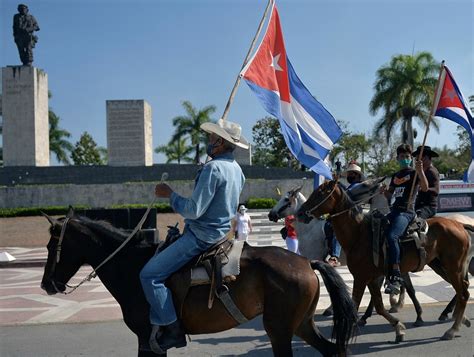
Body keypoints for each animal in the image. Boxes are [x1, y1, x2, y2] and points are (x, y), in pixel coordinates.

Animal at [40, 213, 358, 354]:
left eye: (51, 245)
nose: (46, 285)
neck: (132, 266)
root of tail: (305, 262)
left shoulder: (146, 339)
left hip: (278, 330)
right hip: (301, 324)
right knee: (332, 350)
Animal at [296, 181, 470, 342]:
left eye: (320, 193)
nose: (300, 213)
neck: (359, 234)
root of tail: (460, 225)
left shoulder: (360, 277)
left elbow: (355, 305)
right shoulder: (372, 278)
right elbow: (379, 306)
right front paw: (398, 328)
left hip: (453, 268)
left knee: (462, 294)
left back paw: (452, 329)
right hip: (441, 266)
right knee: (464, 290)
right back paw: (459, 318)